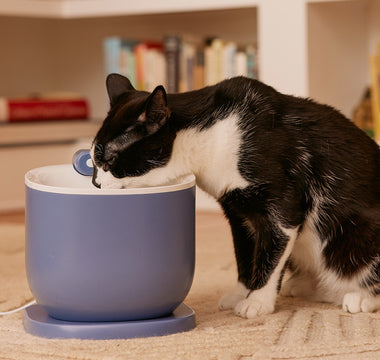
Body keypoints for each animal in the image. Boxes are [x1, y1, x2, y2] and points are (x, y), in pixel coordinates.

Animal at [91, 72, 380, 318]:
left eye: (109, 160)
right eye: (93, 159)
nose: (95, 183)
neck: (212, 137)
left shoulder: (281, 205)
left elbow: (269, 254)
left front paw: (258, 301)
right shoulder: (238, 211)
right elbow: (245, 254)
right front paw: (242, 293)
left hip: (356, 233)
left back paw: (360, 297)